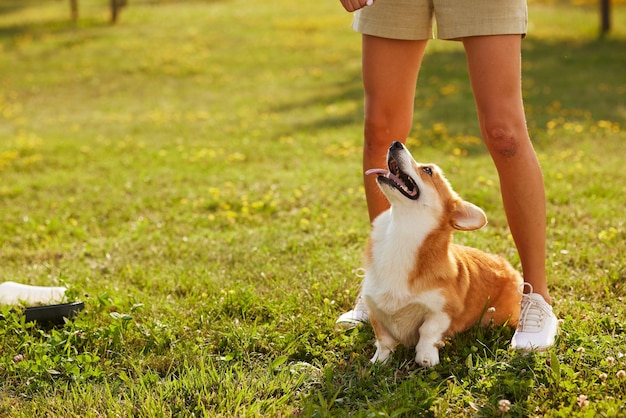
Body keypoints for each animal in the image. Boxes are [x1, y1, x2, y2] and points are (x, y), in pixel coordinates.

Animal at [360, 140, 520, 366]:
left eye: (428, 170)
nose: (395, 143)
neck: (401, 231)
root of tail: (509, 267)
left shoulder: (443, 309)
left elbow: (428, 331)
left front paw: (426, 357)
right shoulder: (375, 307)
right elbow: (384, 340)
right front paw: (378, 362)